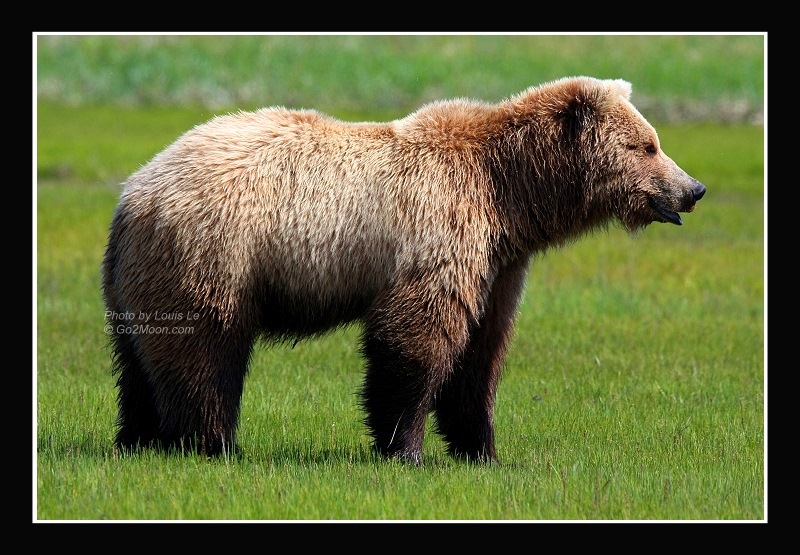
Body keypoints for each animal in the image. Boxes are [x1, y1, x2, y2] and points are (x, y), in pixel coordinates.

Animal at [102, 76, 706, 464]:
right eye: (648, 146)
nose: (693, 189)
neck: (509, 194)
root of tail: (135, 192)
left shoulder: (499, 265)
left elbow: (482, 353)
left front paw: (482, 449)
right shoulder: (438, 234)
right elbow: (416, 341)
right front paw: (405, 449)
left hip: (140, 276)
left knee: (138, 361)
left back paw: (138, 439)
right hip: (216, 253)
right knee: (206, 352)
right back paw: (213, 444)